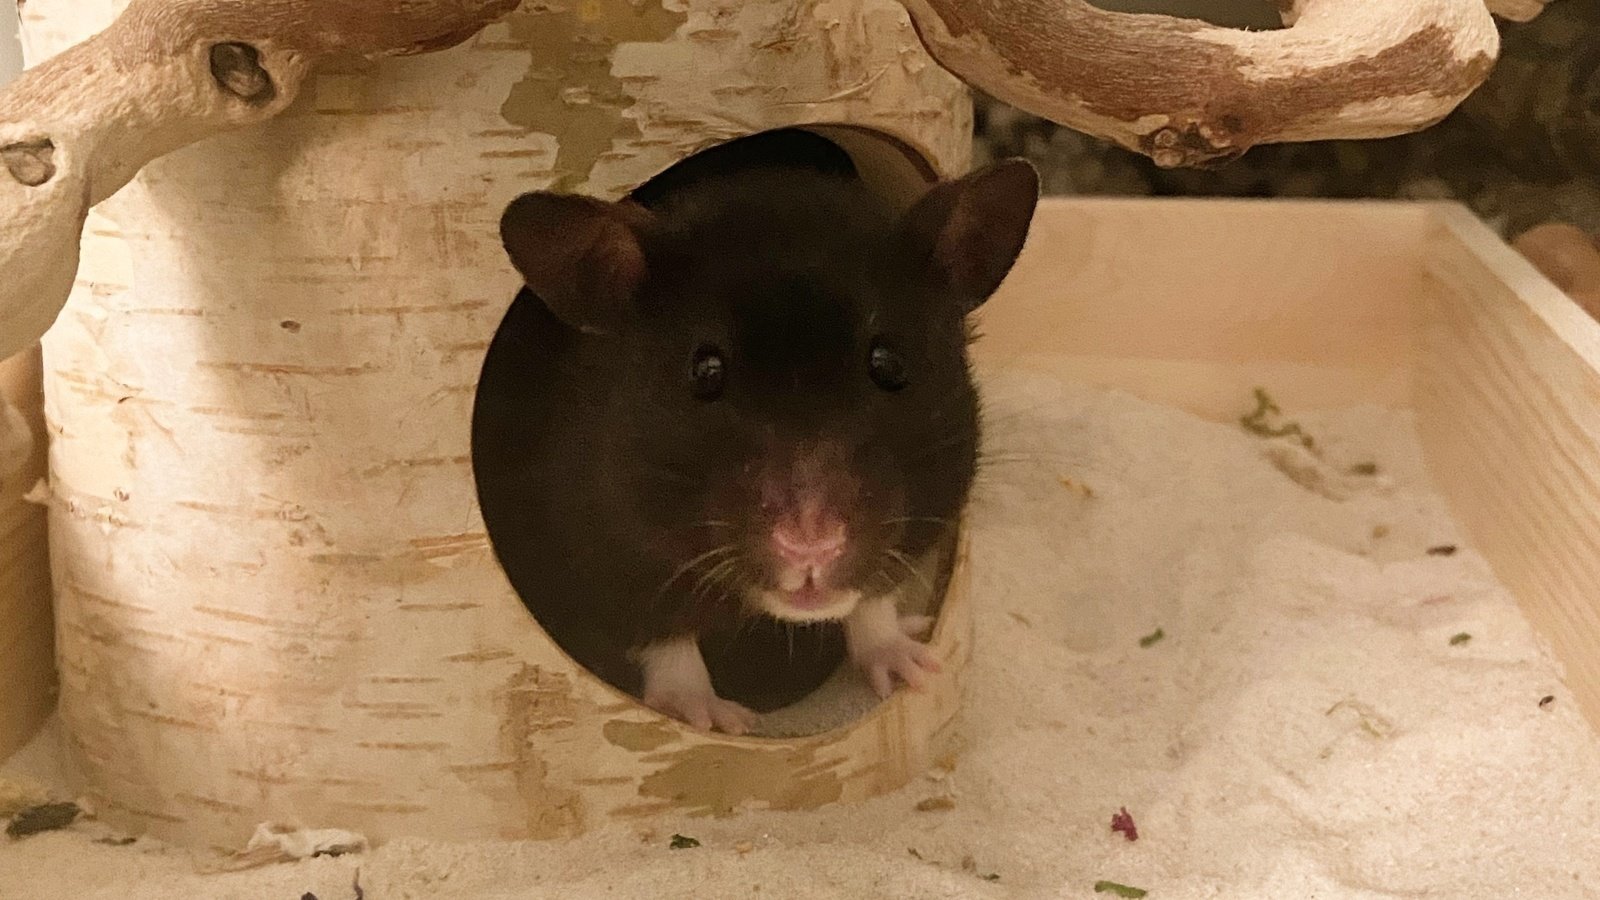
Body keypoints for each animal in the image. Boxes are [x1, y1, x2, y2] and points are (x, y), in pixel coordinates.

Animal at [473, 143, 1038, 734]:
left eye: (888, 363)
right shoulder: (596, 555)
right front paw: (714, 720)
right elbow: (664, 640)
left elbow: (872, 606)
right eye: (705, 372)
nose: (812, 543)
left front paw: (917, 670)